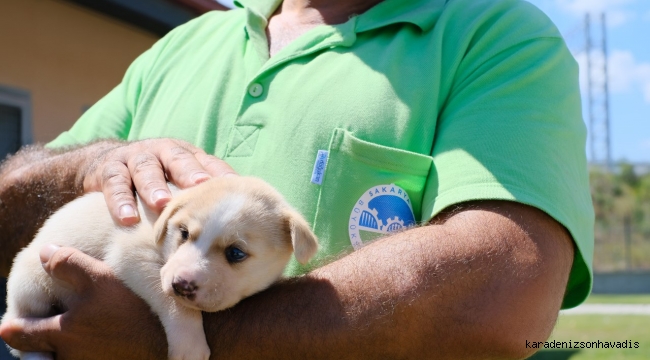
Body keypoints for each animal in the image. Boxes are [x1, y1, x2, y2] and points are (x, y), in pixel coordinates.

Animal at [2, 177, 316, 360]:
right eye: (183, 233)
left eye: (235, 253)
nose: (181, 284)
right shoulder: (131, 253)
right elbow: (175, 304)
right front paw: (189, 345)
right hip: (29, 288)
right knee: (24, 344)